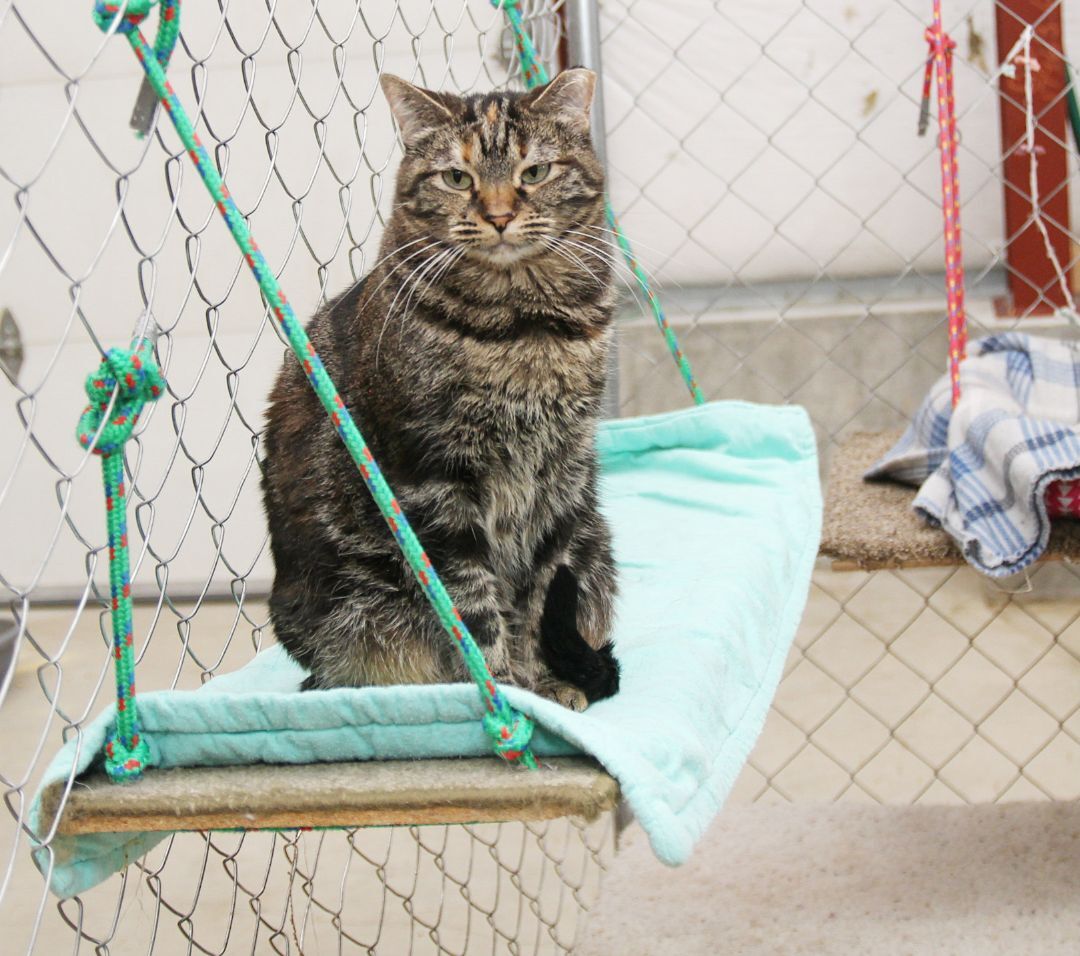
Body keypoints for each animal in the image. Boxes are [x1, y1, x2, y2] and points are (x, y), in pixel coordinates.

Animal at [257, 69, 622, 708]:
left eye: (534, 172)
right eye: (457, 178)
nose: (499, 215)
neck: (522, 328)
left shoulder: (561, 471)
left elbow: (543, 589)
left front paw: (544, 682)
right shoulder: (433, 480)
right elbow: (473, 605)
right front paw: (506, 688)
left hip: (595, 541)